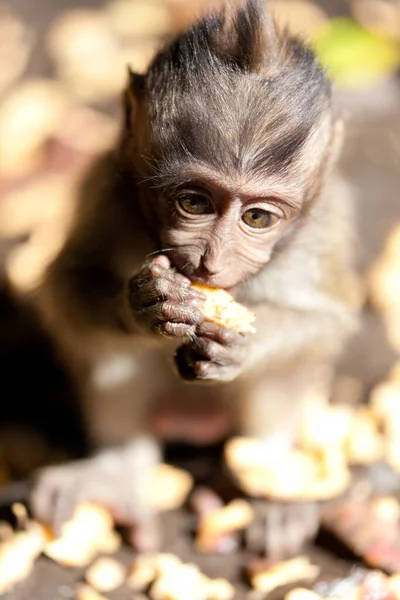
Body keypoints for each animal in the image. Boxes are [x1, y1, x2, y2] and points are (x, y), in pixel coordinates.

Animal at [32, 0, 362, 556]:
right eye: (193, 203)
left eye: (257, 218)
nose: (212, 262)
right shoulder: (108, 193)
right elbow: (67, 286)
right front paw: (144, 307)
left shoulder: (322, 230)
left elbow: (329, 321)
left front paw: (240, 348)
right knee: (111, 352)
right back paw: (118, 473)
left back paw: (268, 488)